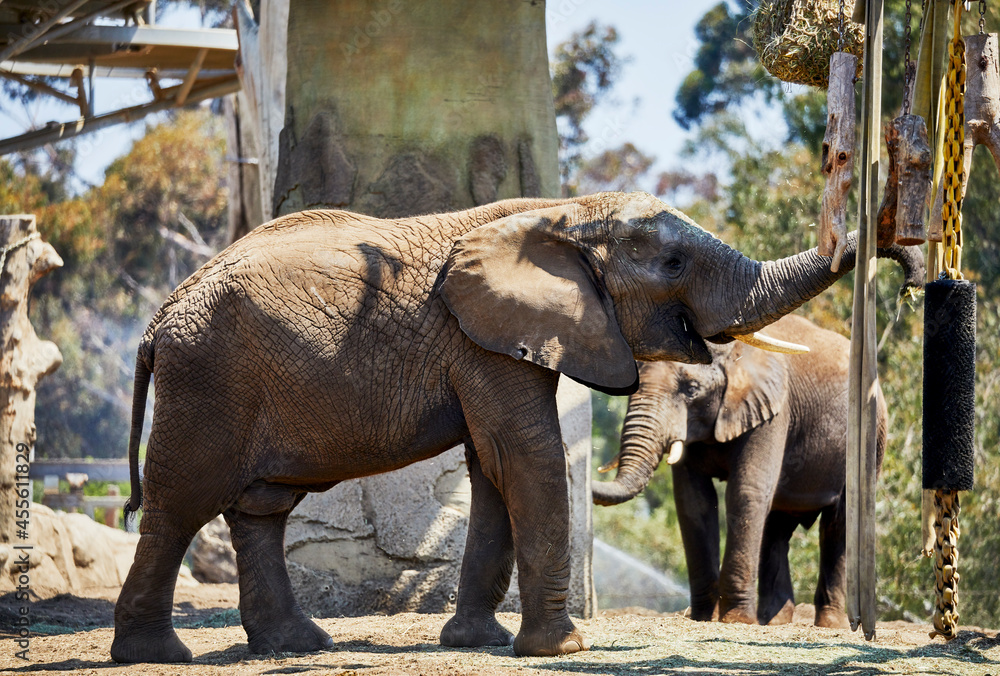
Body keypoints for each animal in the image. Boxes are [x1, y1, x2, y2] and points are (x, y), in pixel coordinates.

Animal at [592, 309, 920, 627]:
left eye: (692, 389)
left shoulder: (772, 411)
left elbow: (745, 491)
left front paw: (736, 620)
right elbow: (693, 500)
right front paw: (703, 617)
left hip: (873, 435)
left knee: (838, 524)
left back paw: (830, 624)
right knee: (777, 527)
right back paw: (774, 621)